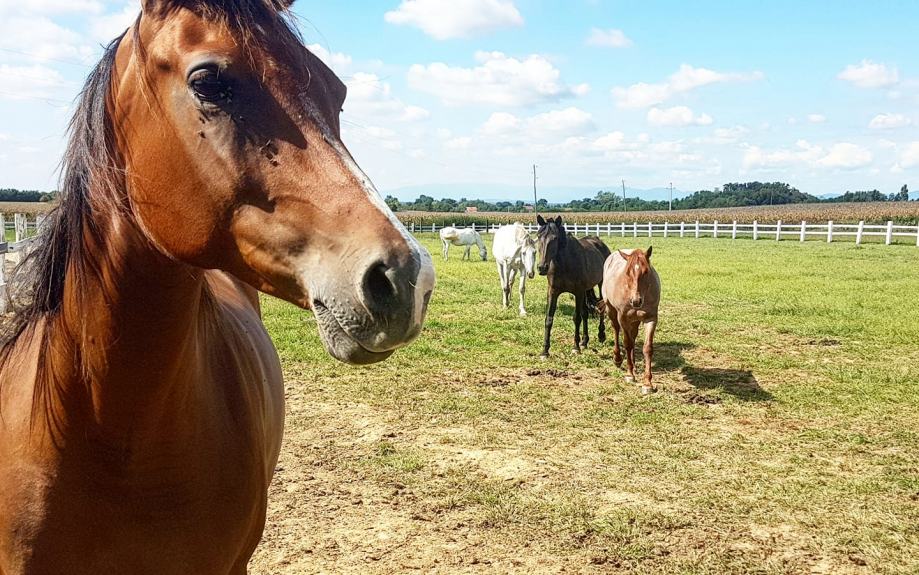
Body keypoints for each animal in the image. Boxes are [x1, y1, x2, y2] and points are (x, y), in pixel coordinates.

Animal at [535, 215, 610, 358]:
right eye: (538, 236)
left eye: (554, 238)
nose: (542, 267)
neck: (565, 263)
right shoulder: (553, 292)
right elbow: (549, 318)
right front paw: (545, 351)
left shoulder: (578, 292)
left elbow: (577, 317)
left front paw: (575, 347)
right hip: (587, 289)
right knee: (586, 312)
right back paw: (585, 341)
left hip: (601, 283)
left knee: (601, 307)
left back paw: (601, 335)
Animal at [599, 248, 661, 395]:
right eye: (627, 273)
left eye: (646, 272)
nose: (636, 301)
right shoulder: (623, 318)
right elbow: (627, 343)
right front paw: (629, 374)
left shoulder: (651, 319)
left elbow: (647, 348)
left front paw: (647, 383)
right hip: (611, 310)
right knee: (616, 330)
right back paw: (617, 359)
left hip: (635, 321)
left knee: (633, 336)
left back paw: (633, 364)